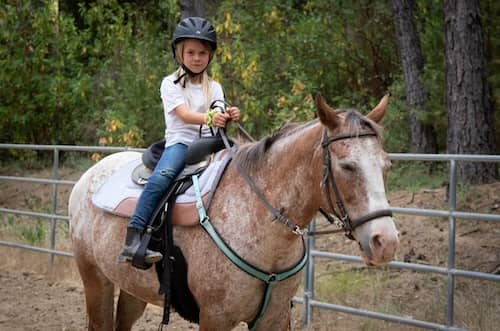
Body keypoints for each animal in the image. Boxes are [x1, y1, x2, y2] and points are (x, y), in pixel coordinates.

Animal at [69, 94, 398, 330]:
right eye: (347, 166)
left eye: (386, 165)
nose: (386, 242)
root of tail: (89, 176)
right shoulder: (215, 318)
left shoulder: (274, 318)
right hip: (95, 280)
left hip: (132, 288)